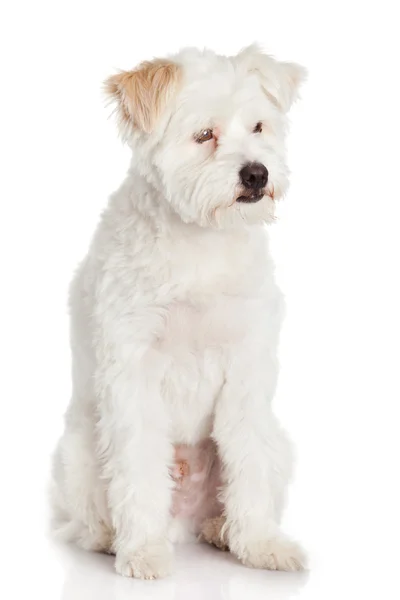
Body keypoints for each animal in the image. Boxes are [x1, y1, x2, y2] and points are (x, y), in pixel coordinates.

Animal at [50, 44, 306, 580]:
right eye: (204, 135)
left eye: (258, 126)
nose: (257, 174)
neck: (201, 241)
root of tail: (184, 521)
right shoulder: (133, 373)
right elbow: (138, 469)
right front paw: (143, 551)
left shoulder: (246, 366)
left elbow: (248, 459)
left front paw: (260, 544)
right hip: (76, 453)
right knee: (89, 518)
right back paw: (110, 539)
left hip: (282, 445)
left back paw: (222, 530)